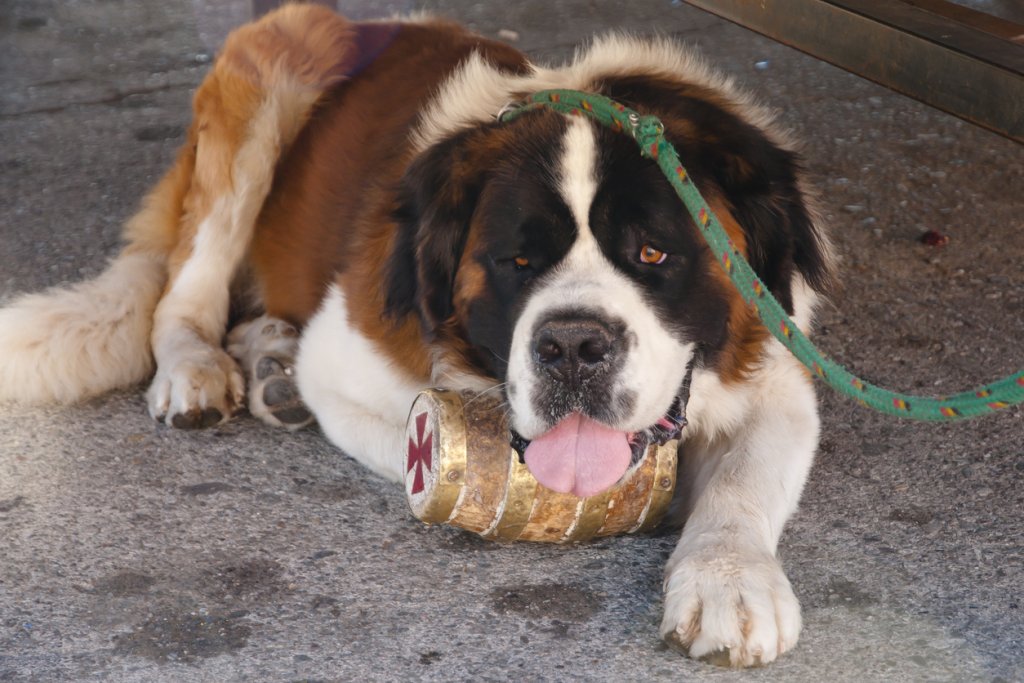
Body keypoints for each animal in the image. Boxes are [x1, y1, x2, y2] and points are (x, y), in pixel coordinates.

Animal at [0, 3, 831, 667]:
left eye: (653, 254)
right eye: (516, 259)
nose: (571, 346)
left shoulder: (779, 375)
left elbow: (742, 482)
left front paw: (729, 583)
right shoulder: (349, 362)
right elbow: (422, 448)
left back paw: (268, 358)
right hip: (262, 92)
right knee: (183, 294)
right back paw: (198, 368)